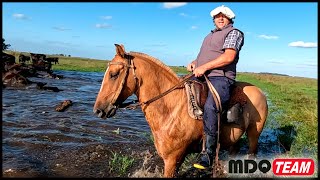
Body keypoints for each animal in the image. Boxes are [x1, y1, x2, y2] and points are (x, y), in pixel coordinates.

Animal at [92, 44, 268, 177]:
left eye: (114, 74)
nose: (98, 110)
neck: (172, 109)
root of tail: (260, 91)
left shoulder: (172, 159)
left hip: (254, 134)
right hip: (234, 140)